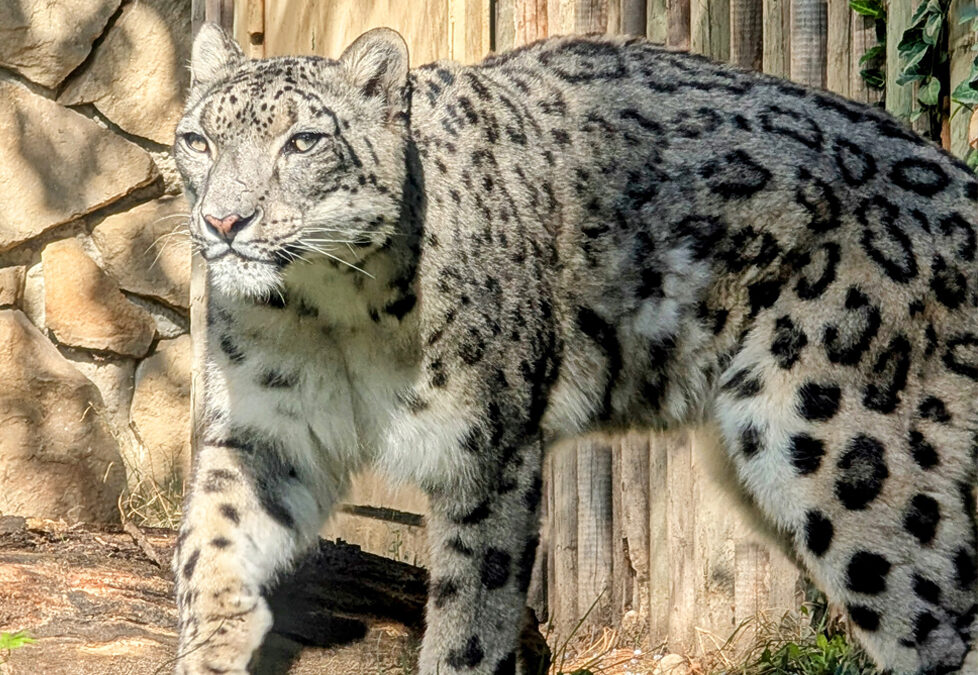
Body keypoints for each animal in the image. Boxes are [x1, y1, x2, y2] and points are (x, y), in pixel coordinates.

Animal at [172, 22, 978, 675]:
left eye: (304, 141)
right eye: (197, 140)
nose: (223, 220)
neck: (330, 314)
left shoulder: (484, 449)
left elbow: (473, 610)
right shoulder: (266, 424)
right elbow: (211, 536)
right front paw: (213, 645)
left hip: (841, 446)